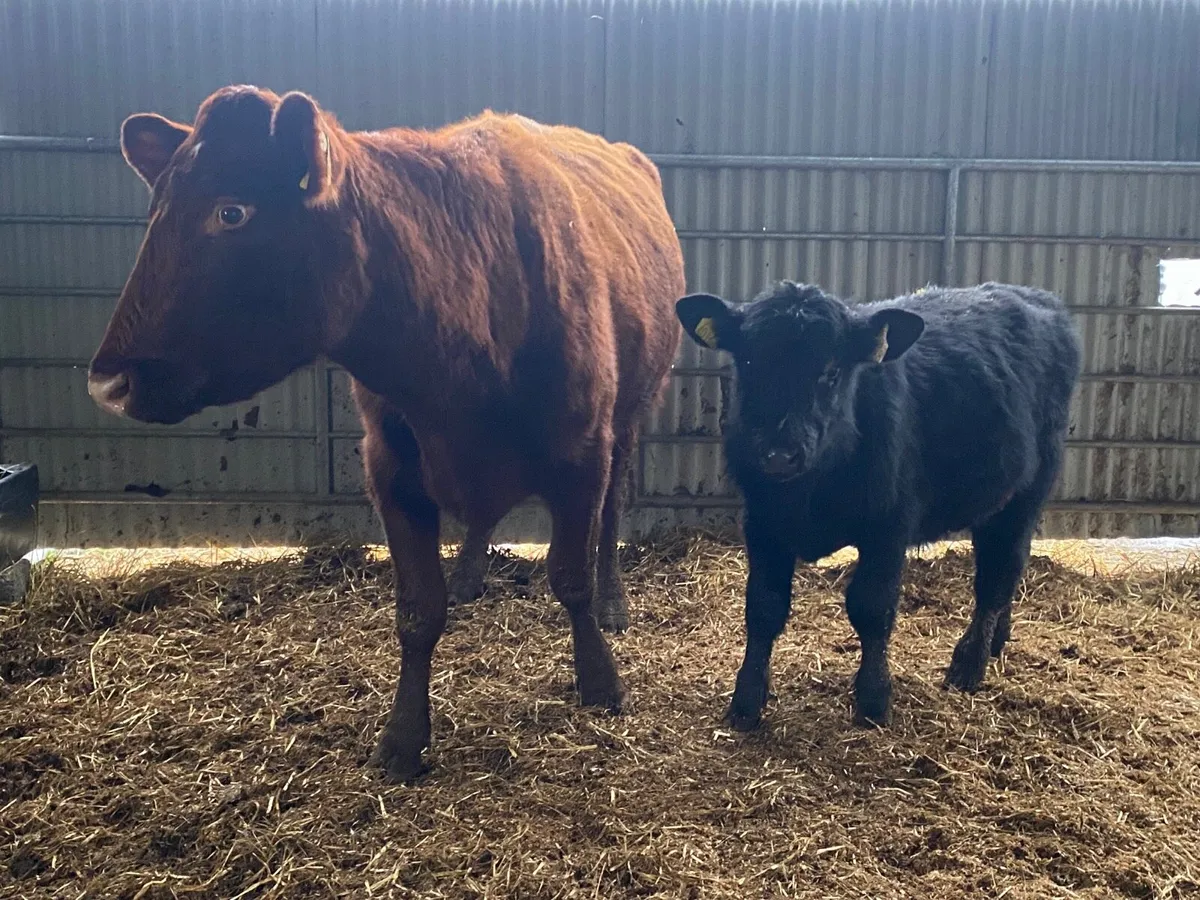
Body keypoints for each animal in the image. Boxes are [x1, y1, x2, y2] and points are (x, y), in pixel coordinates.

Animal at [86, 85, 685, 781]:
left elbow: (570, 577)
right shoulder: (392, 469)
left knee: (613, 508)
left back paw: (613, 601)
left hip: (635, 409)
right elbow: (418, 611)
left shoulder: (582, 451)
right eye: (157, 209)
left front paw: (600, 681)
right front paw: (403, 736)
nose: (108, 381)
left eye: (230, 211)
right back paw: (470, 576)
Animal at [675, 281, 1080, 730]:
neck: (810, 492)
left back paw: (969, 664)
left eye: (831, 372)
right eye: (748, 363)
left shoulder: (889, 525)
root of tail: (1032, 295)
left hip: (1029, 488)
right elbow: (764, 607)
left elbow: (871, 607)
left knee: (998, 573)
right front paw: (746, 701)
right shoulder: (762, 523)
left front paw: (873, 698)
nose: (780, 455)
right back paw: (997, 641)